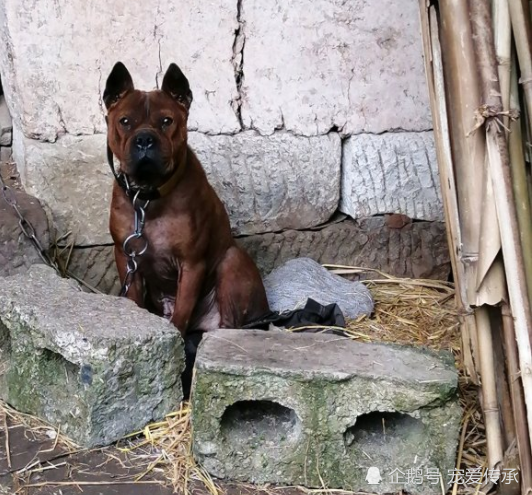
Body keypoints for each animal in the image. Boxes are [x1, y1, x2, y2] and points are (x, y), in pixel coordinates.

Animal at [103, 62, 270, 368]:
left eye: (167, 121)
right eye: (125, 121)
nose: (145, 139)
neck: (148, 198)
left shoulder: (191, 264)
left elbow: (181, 312)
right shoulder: (125, 257)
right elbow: (134, 299)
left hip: (231, 262)